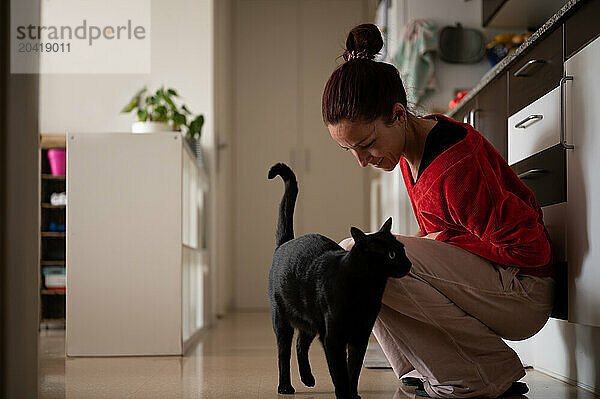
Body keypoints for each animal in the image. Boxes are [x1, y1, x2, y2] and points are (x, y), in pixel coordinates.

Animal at [268, 163, 412, 399]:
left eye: (401, 249)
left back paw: (308, 379)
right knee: (284, 352)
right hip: (281, 319)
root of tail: (286, 243)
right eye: (391, 254)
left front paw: (353, 394)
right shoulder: (334, 338)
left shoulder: (360, 335)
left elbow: (354, 369)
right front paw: (344, 394)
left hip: (311, 322)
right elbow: (340, 370)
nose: (408, 264)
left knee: (301, 344)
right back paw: (285, 387)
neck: (367, 290)